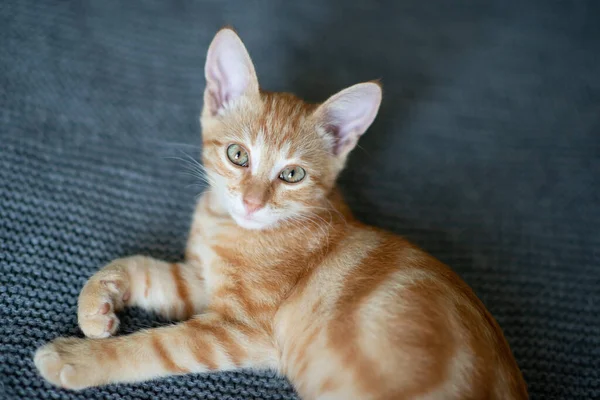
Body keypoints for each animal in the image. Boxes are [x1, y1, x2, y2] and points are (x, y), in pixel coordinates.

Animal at [35, 28, 528, 400]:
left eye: (292, 174)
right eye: (238, 155)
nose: (253, 202)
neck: (226, 226)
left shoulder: (237, 331)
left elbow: (158, 346)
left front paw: (77, 358)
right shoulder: (201, 281)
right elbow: (141, 267)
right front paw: (96, 303)